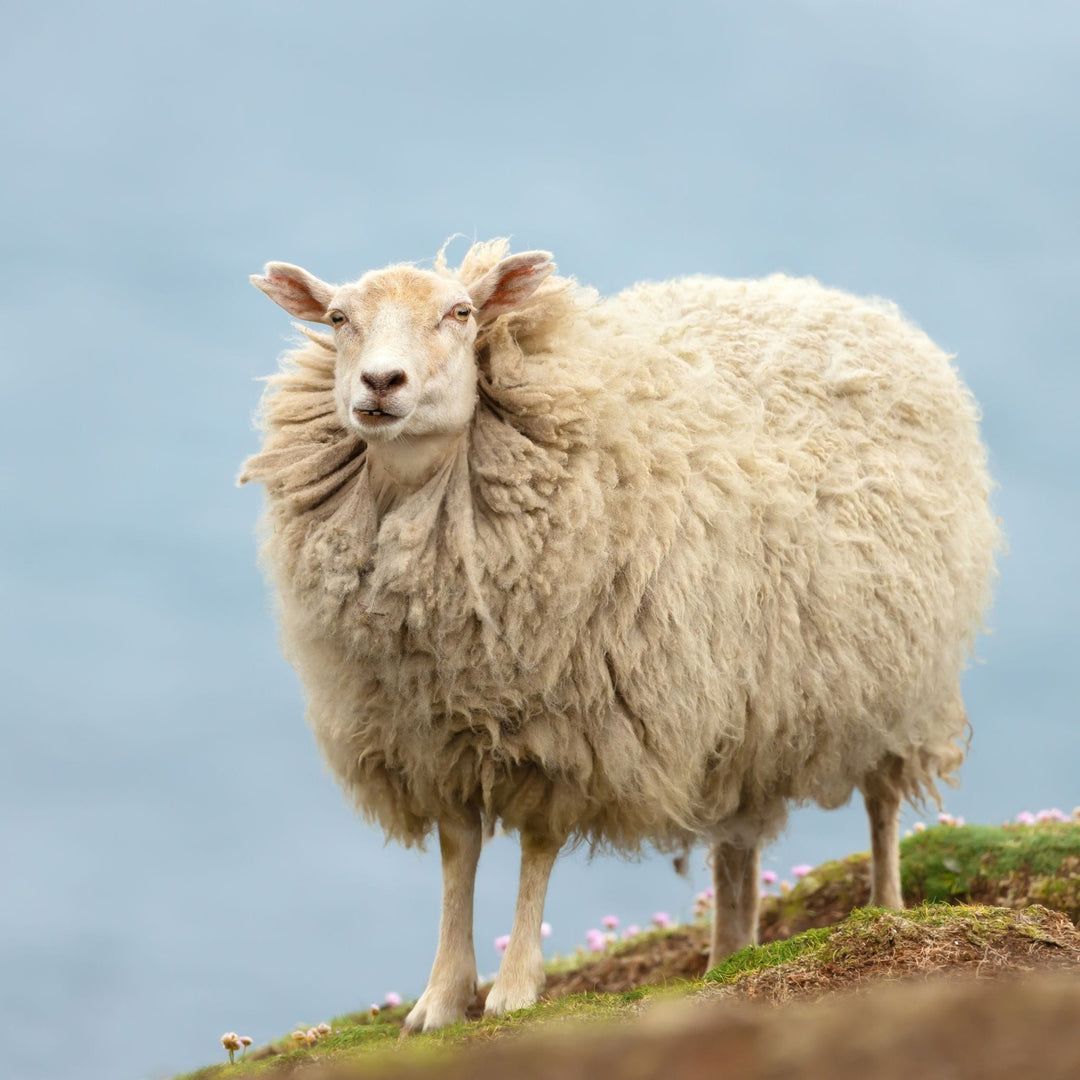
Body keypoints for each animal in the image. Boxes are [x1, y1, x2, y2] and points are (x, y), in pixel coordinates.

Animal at [240, 238, 1000, 1032]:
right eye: (337, 317)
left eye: (462, 313)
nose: (381, 382)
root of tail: (841, 300)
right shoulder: (429, 736)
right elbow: (458, 851)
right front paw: (441, 998)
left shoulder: (570, 727)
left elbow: (537, 844)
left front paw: (514, 990)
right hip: (751, 701)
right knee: (738, 843)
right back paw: (729, 954)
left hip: (899, 674)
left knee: (882, 801)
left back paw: (885, 910)